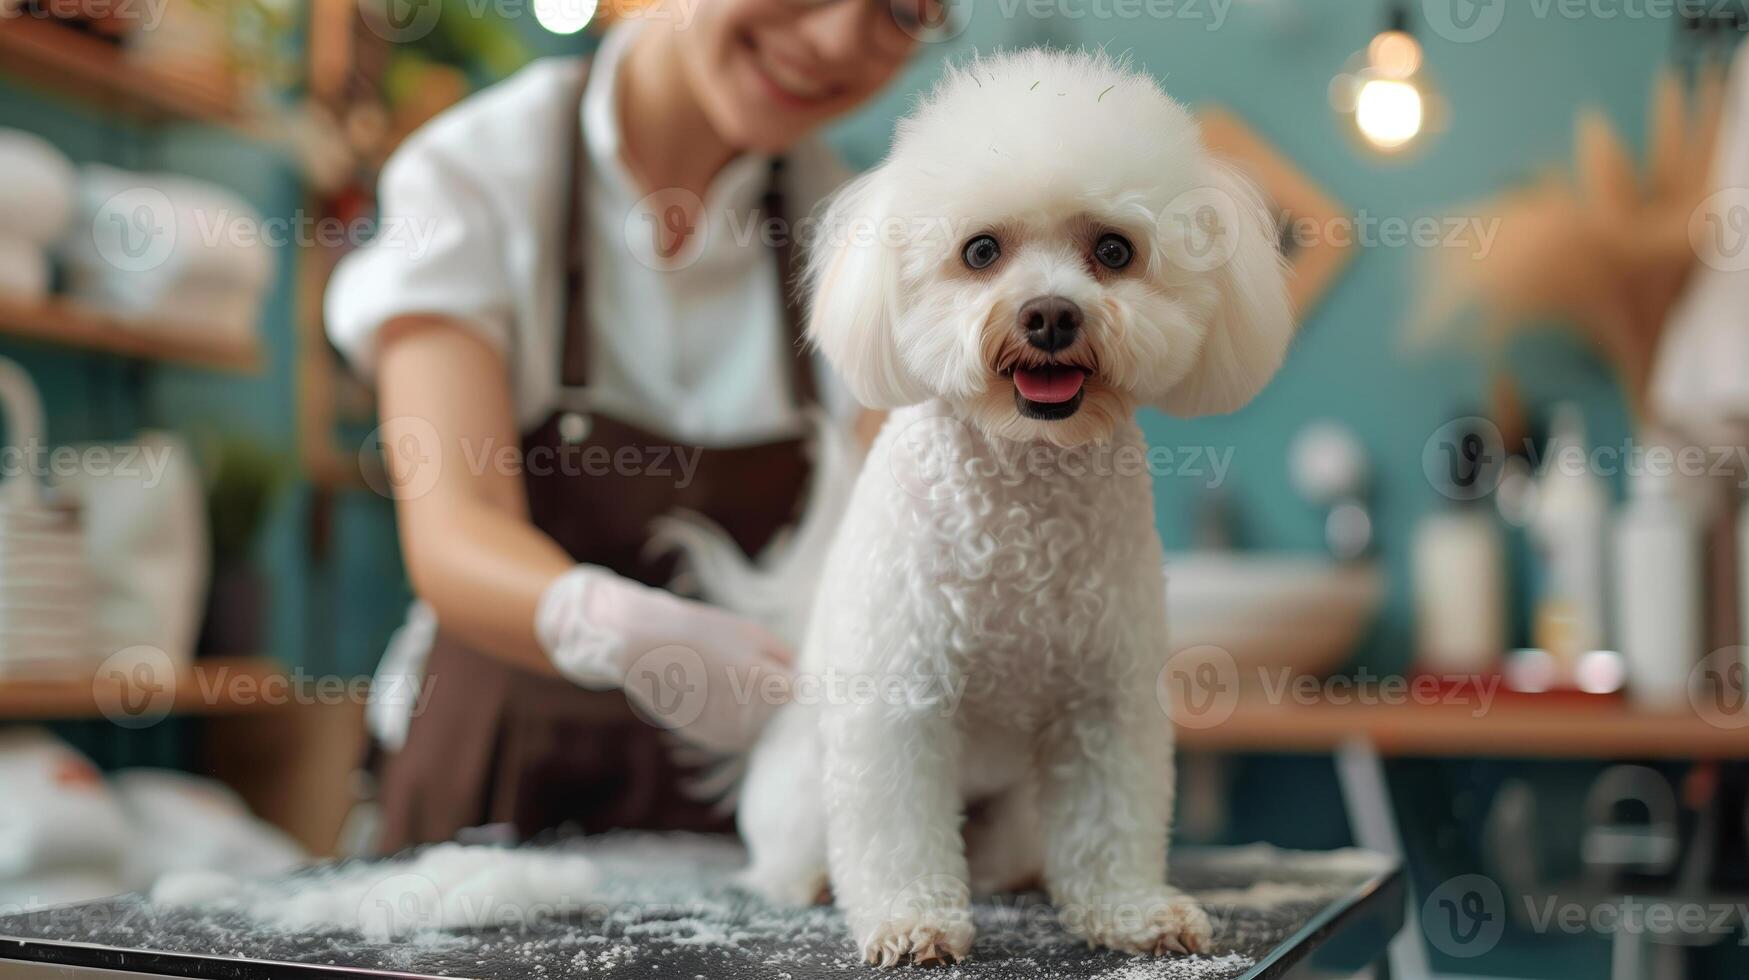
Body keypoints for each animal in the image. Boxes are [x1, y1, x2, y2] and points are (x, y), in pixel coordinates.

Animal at [661, 47, 1294, 973]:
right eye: (981, 250)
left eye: (1113, 249)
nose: (1050, 314)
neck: (1025, 488)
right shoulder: (899, 703)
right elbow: (894, 834)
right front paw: (910, 922)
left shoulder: (1102, 701)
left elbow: (1112, 822)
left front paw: (1132, 913)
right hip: (808, 787)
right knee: (792, 851)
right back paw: (806, 881)